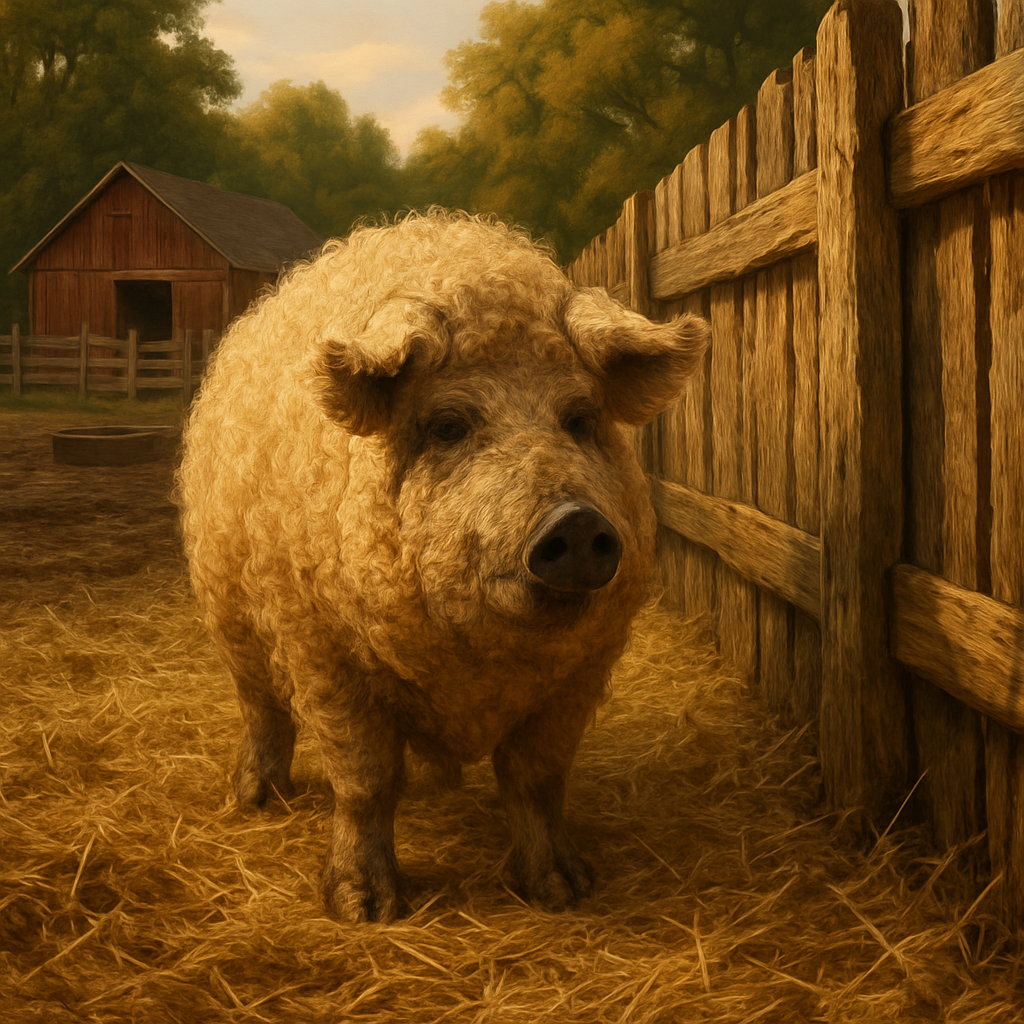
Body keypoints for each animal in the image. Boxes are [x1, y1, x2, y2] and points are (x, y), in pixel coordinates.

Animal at [176, 212, 708, 922]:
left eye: (580, 419)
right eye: (449, 425)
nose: (574, 521)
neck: (480, 669)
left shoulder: (583, 670)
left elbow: (536, 778)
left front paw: (563, 890)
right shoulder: (321, 650)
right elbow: (366, 780)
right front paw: (366, 910)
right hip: (228, 611)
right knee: (262, 708)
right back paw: (257, 799)